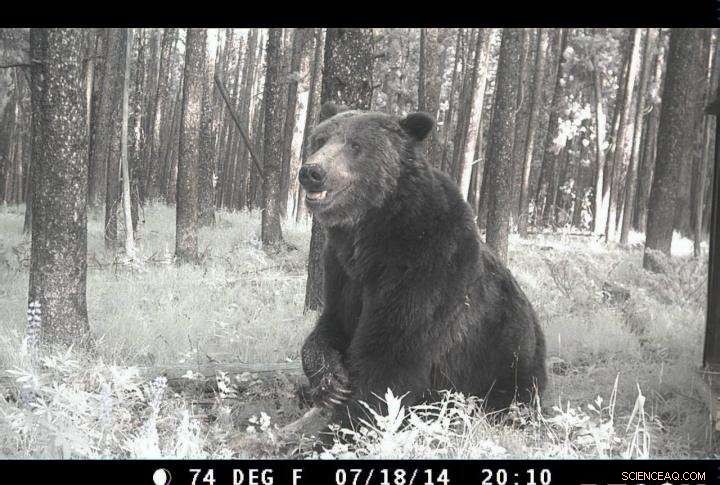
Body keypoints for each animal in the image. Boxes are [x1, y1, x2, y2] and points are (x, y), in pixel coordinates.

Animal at [298, 103, 546, 427]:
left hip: (505, 354)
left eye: (355, 145)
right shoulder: (342, 270)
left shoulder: (427, 265)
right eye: (319, 140)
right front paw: (330, 383)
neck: (373, 231)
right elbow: (331, 325)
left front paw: (349, 425)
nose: (312, 172)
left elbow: (390, 356)